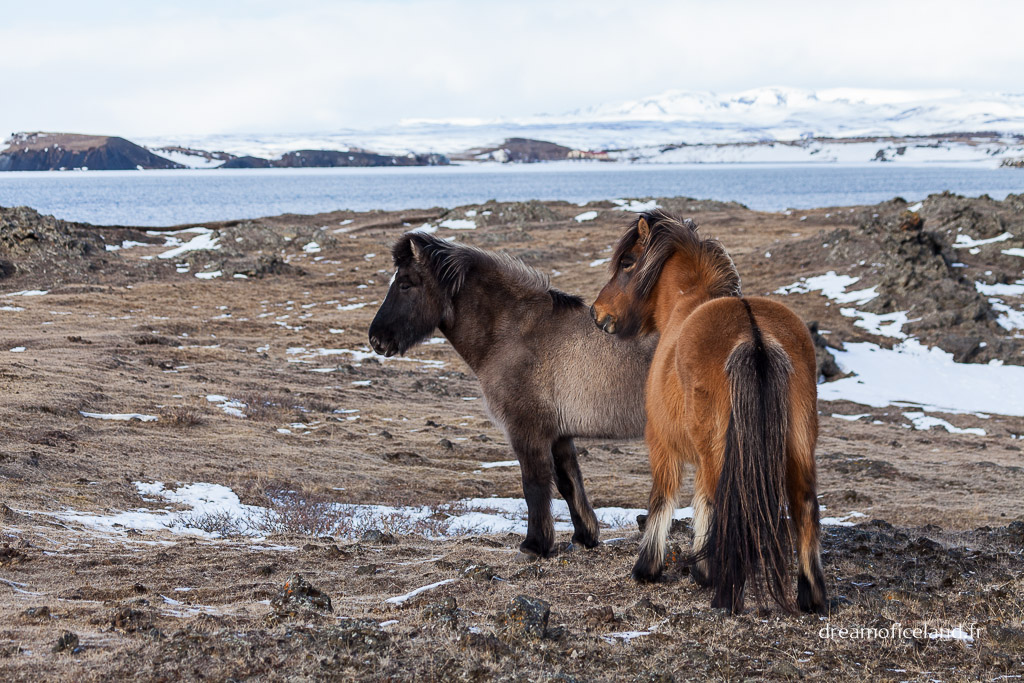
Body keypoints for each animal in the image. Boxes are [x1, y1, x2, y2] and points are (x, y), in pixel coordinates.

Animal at [372, 232, 651, 557]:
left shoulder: (527, 430)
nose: (376, 339)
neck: (516, 332)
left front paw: (535, 544)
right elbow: (569, 481)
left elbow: (534, 483)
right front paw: (585, 536)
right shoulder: (558, 433)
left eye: (405, 284)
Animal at [589, 210, 827, 618]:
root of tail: (755, 335)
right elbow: (701, 501)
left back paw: (726, 597)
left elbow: (664, 498)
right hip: (796, 445)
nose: (598, 313)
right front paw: (701, 569)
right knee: (805, 505)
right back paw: (812, 597)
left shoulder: (661, 442)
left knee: (726, 505)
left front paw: (648, 567)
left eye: (627, 263)